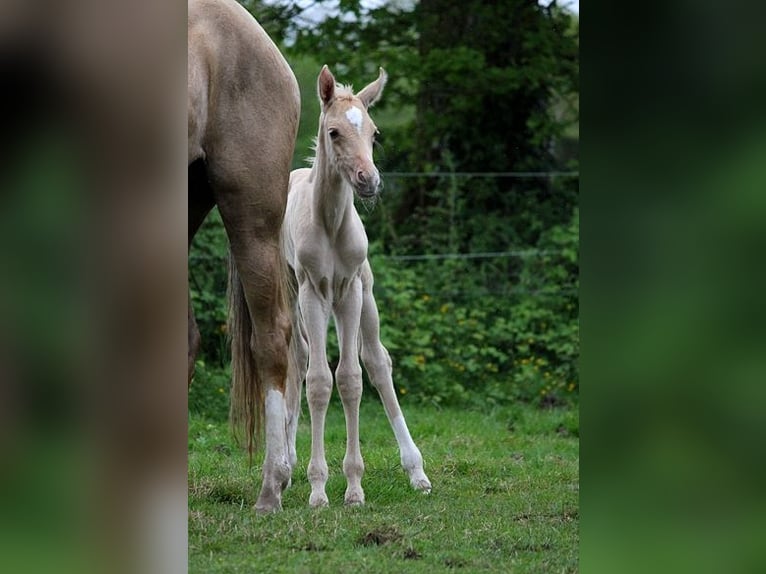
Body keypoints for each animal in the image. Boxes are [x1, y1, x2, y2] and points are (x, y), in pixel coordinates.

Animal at [284, 66, 436, 508]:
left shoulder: (349, 290)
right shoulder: (314, 293)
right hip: (294, 293)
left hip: (363, 296)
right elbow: (320, 380)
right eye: (334, 132)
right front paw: (318, 489)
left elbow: (351, 378)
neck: (331, 223)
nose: (369, 181)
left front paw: (354, 487)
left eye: (374, 132)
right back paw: (286, 462)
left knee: (377, 362)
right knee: (298, 360)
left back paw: (416, 471)